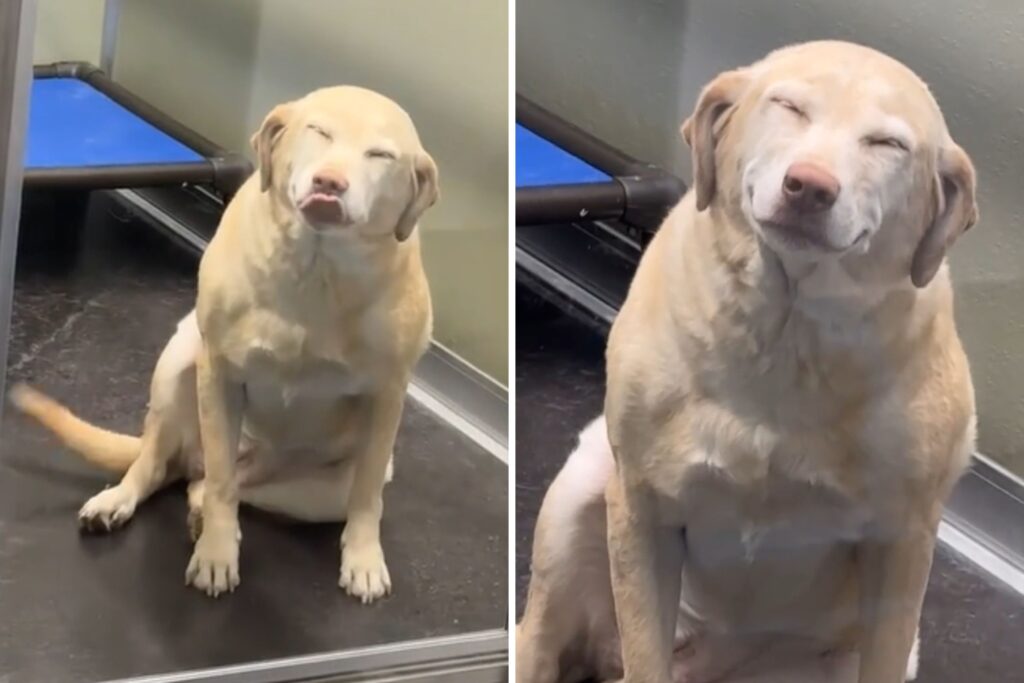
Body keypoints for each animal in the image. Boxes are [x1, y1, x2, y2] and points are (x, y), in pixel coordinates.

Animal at [9, 85, 440, 602]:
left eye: (380, 155)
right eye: (319, 131)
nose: (330, 182)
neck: (316, 269)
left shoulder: (387, 396)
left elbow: (367, 498)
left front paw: (363, 559)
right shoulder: (218, 372)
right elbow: (219, 481)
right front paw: (216, 555)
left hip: (322, 491)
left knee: (213, 485)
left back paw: (202, 512)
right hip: (178, 362)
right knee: (169, 466)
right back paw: (128, 500)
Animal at [516, 40, 978, 679]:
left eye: (888, 144)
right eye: (788, 106)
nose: (810, 185)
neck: (786, 335)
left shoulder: (902, 546)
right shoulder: (643, 510)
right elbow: (645, 651)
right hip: (580, 494)